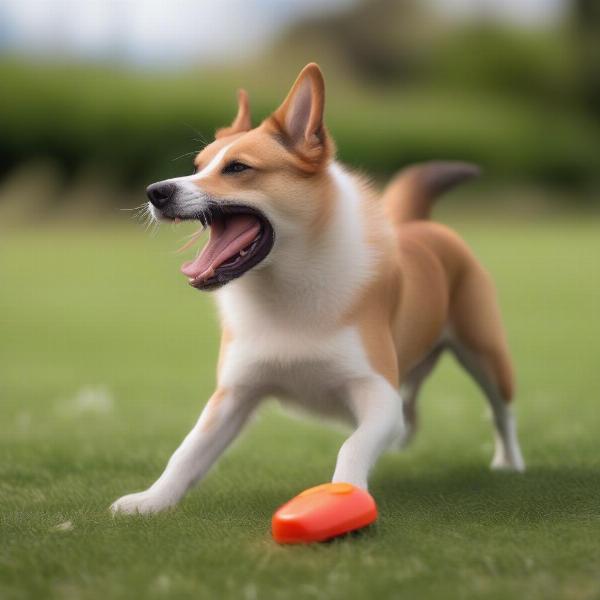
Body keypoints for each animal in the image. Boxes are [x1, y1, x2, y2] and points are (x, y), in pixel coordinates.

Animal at [110, 64, 524, 516]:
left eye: (237, 168)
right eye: (197, 165)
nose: (156, 192)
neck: (286, 288)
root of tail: (419, 223)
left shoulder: (378, 393)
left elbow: (353, 444)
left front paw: (346, 495)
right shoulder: (234, 393)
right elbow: (187, 451)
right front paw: (152, 500)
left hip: (486, 353)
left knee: (500, 412)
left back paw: (510, 463)